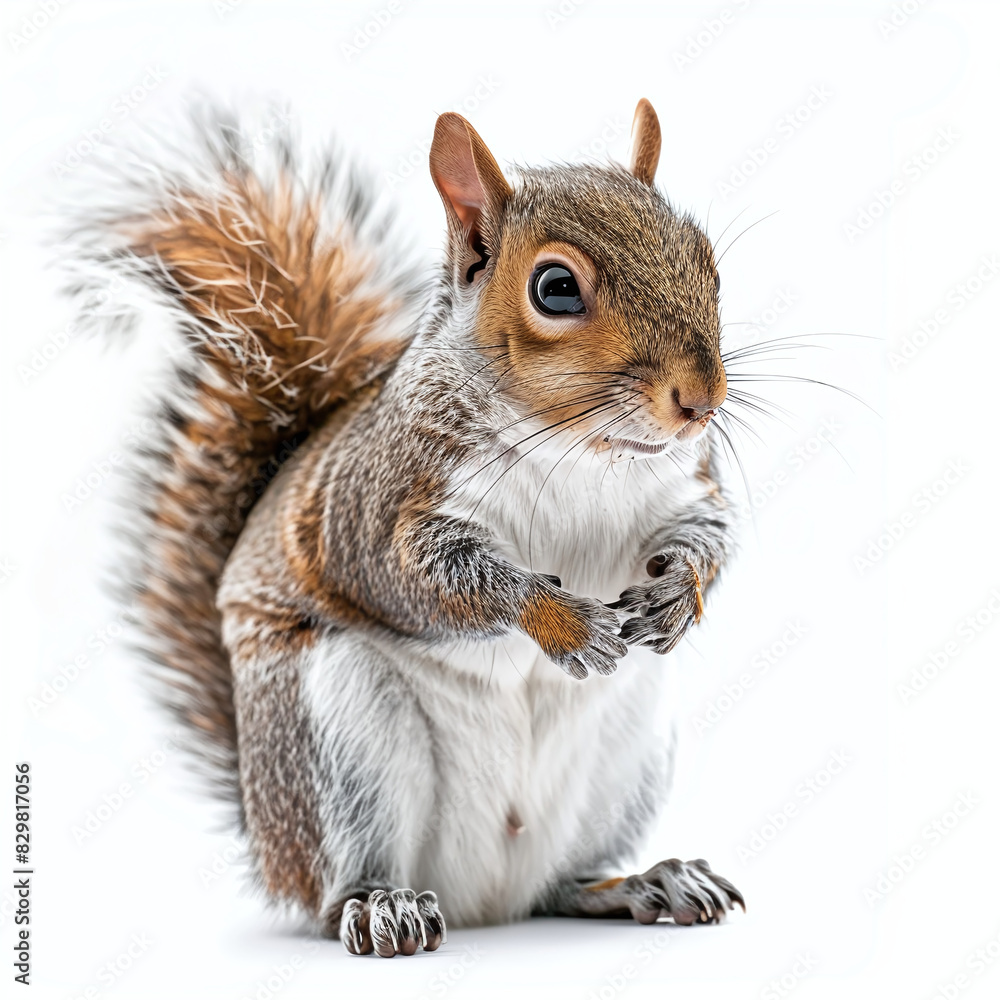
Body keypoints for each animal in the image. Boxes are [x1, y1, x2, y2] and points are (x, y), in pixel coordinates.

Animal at [66, 98, 744, 957]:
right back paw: (381, 905)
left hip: (630, 745)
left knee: (564, 885)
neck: (583, 450)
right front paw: (561, 621)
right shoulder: (381, 505)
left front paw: (677, 597)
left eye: (706, 259)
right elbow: (430, 578)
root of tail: (485, 899)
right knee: (338, 890)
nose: (701, 400)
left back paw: (646, 882)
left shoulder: (687, 486)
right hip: (337, 740)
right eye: (556, 289)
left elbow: (708, 537)